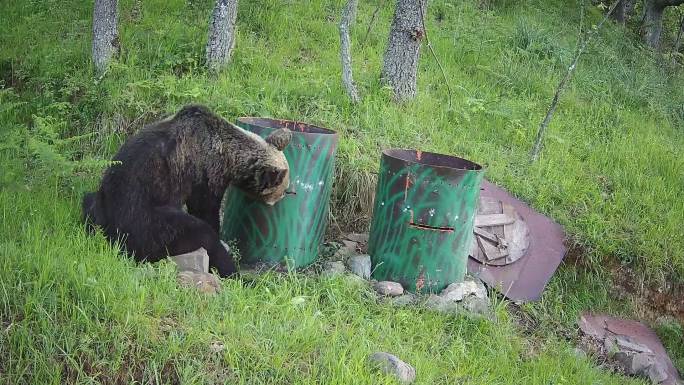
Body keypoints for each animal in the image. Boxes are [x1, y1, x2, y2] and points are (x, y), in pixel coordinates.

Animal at [81, 103, 290, 276]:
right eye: (284, 189)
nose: (284, 196)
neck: (229, 155)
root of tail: (109, 233)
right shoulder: (204, 169)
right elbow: (205, 208)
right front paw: (222, 240)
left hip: (99, 203)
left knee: (88, 201)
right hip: (147, 224)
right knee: (199, 233)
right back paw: (235, 273)